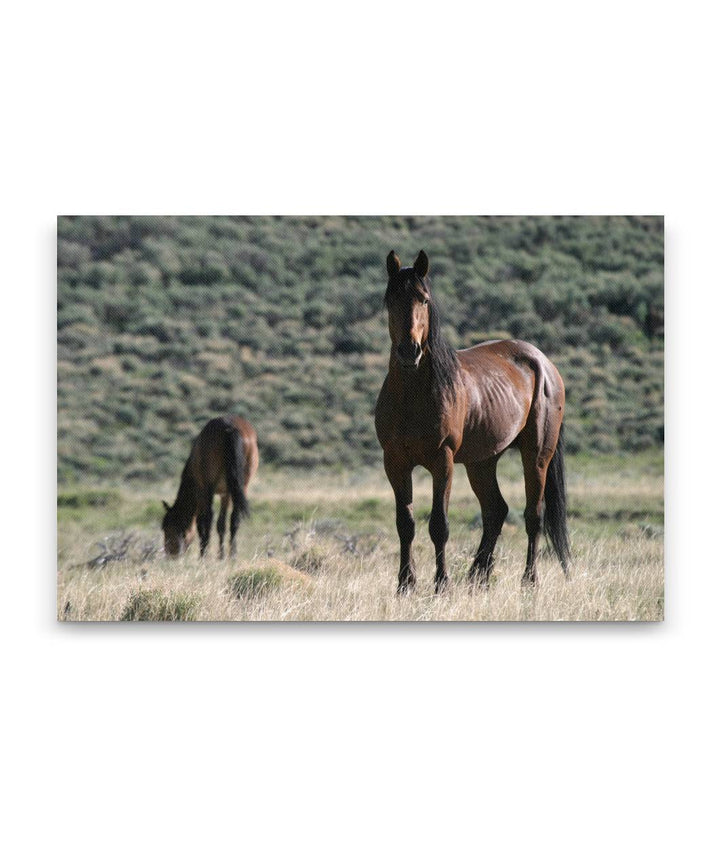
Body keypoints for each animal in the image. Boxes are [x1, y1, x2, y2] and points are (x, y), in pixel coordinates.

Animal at [161, 412, 258, 560]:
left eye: (167, 528)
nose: (170, 555)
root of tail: (230, 427)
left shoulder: (201, 492)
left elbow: (201, 522)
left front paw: (204, 553)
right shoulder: (226, 493)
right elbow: (221, 524)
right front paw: (221, 555)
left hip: (209, 488)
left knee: (209, 517)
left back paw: (205, 555)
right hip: (242, 486)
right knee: (234, 519)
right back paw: (232, 555)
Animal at [374, 251, 572, 592]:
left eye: (424, 299)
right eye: (391, 299)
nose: (409, 351)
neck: (413, 396)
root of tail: (543, 362)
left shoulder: (443, 461)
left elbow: (439, 525)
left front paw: (441, 584)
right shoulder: (395, 462)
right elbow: (405, 523)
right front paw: (405, 585)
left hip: (536, 455)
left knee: (533, 515)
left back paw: (528, 581)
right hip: (482, 462)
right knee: (496, 511)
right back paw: (477, 576)